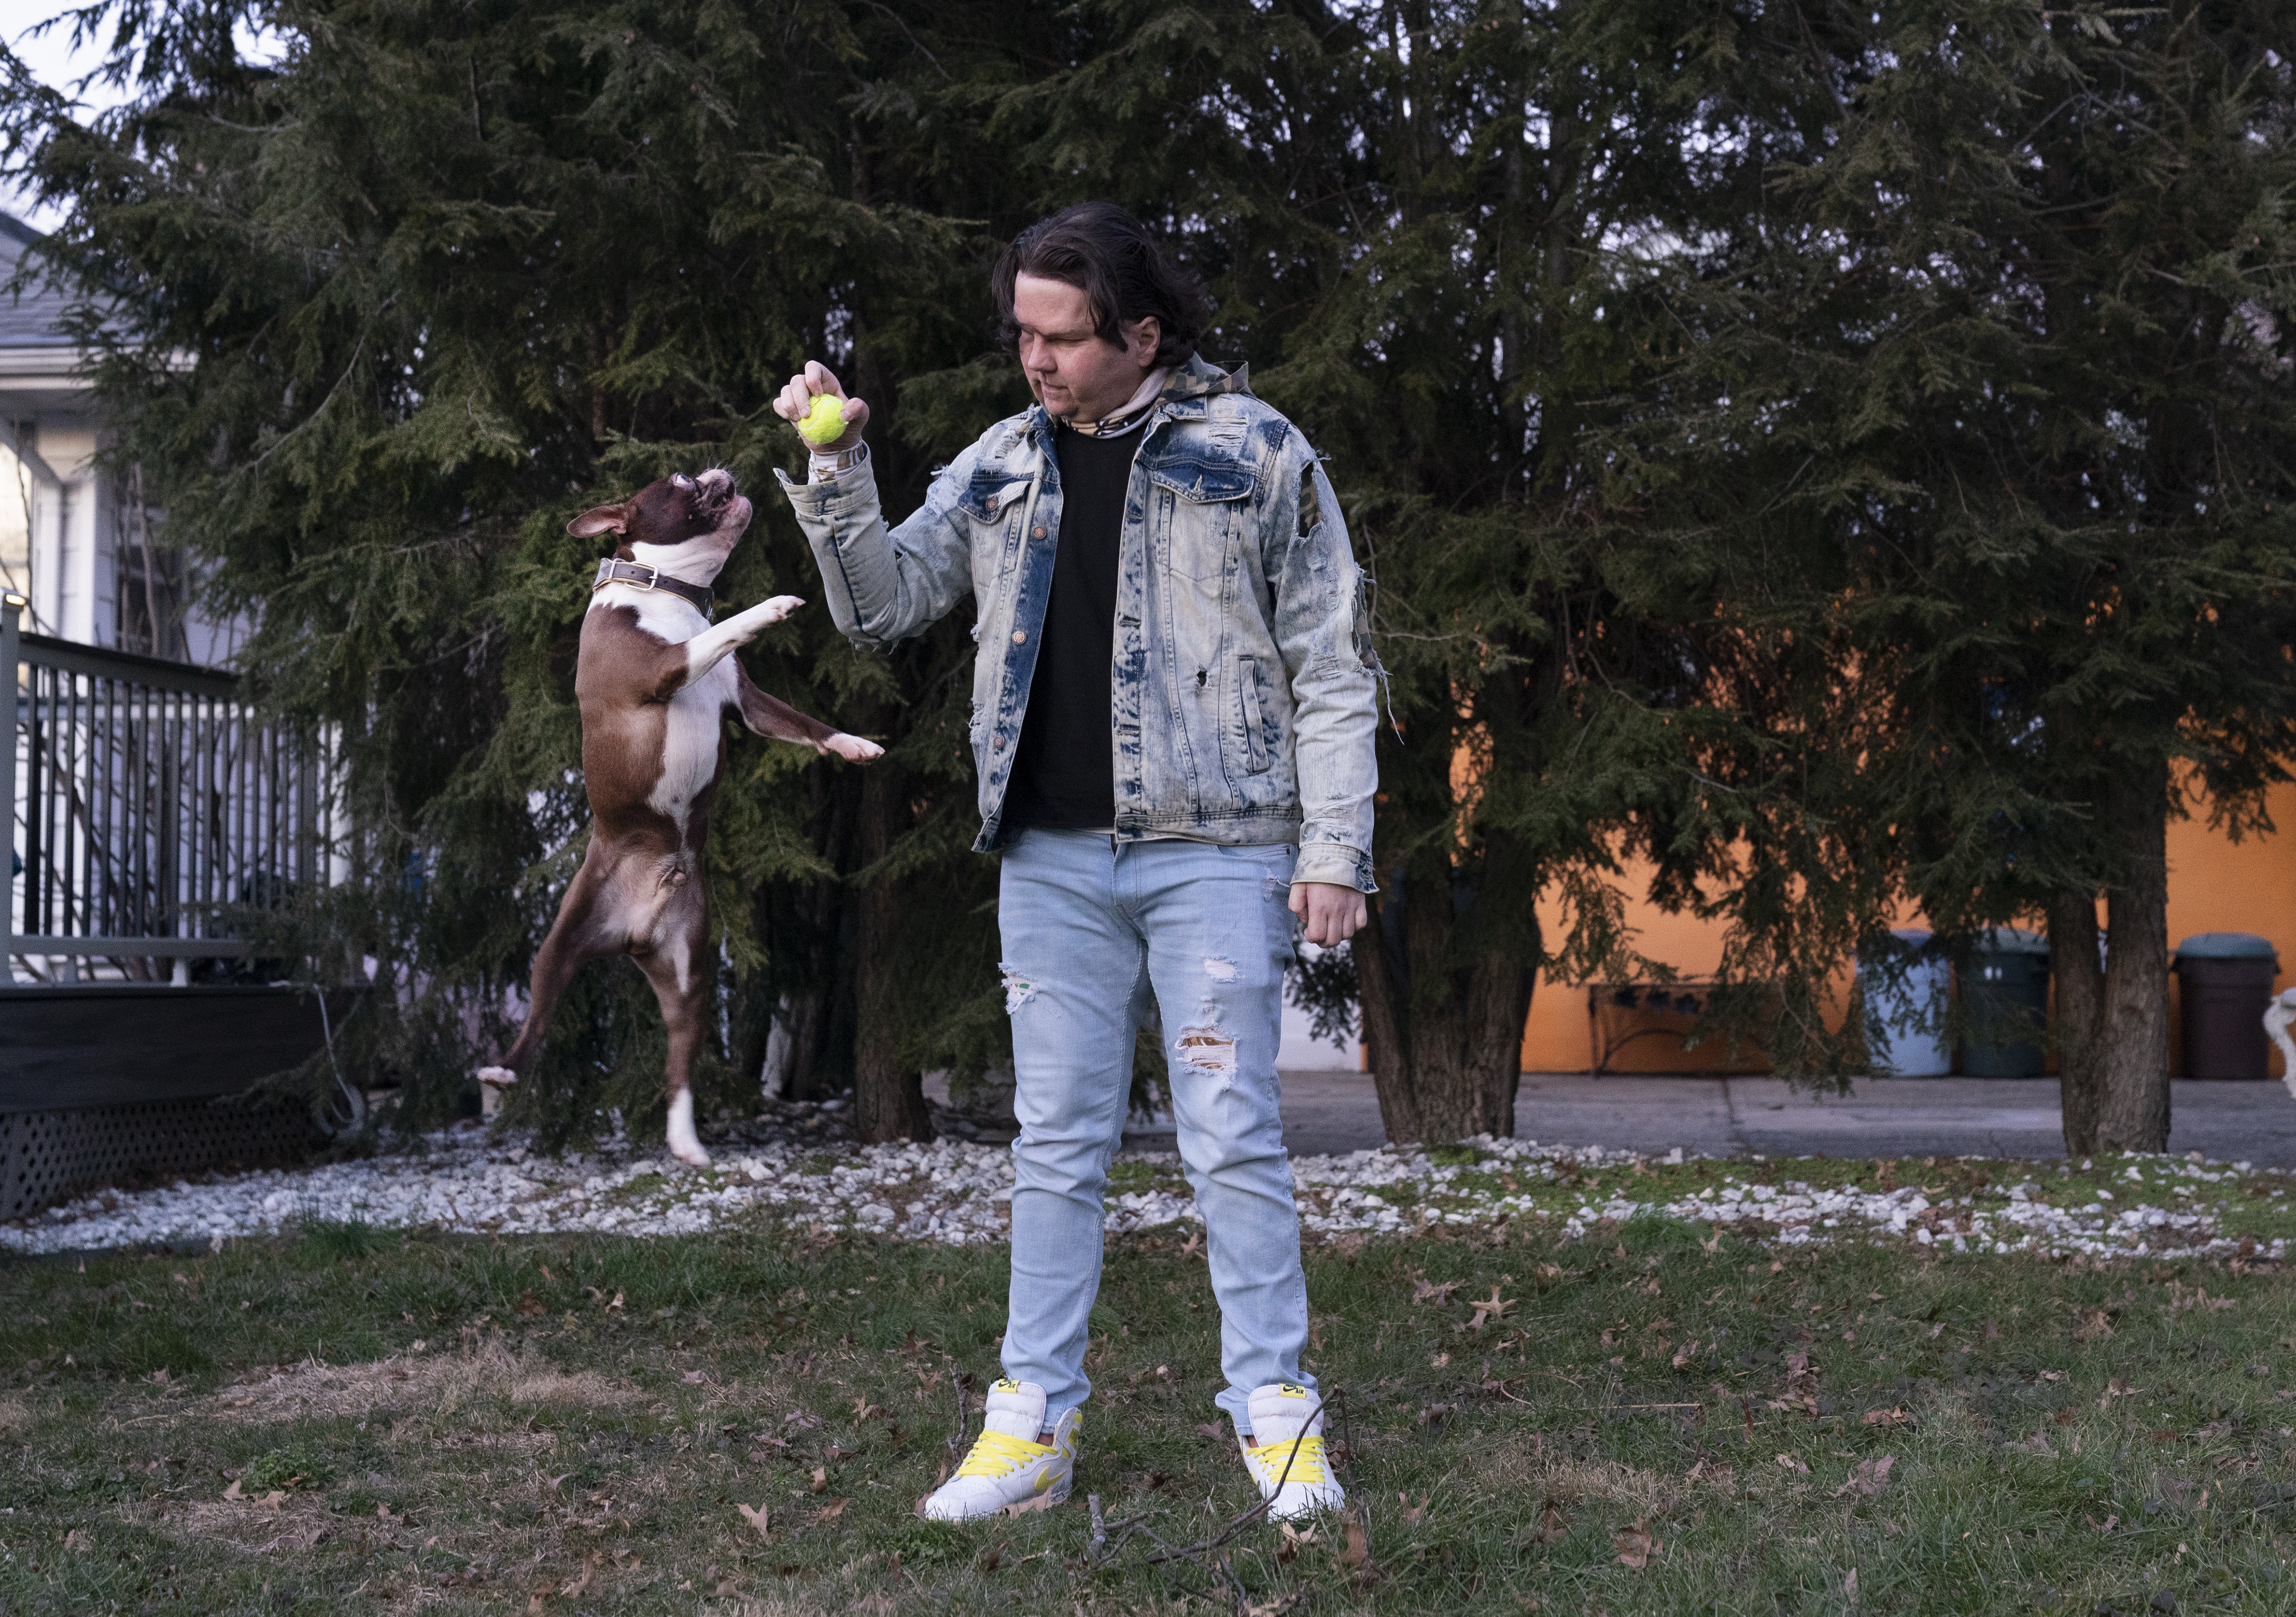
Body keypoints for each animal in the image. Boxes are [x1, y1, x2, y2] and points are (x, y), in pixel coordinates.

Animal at [473, 468, 877, 1162]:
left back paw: (687, 1144)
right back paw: (503, 1071)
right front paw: (772, 606)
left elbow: (806, 725)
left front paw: (854, 744)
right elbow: (722, 630)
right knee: (542, 1014)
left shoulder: (749, 703)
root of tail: (635, 930)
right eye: (680, 484)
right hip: (560, 945)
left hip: (690, 974)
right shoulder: (663, 670)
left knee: (679, 1063)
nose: (722, 472)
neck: (667, 590)